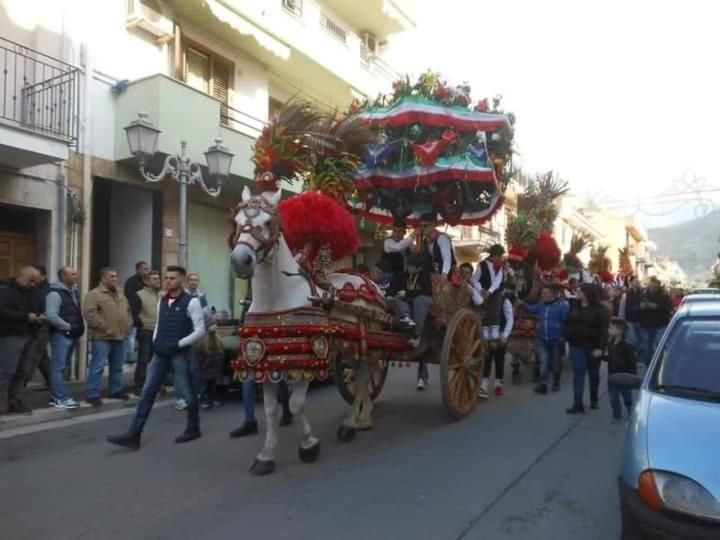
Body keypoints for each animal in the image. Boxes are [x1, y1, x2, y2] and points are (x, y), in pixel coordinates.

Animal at [231, 188, 380, 474]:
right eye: (237, 221)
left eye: (268, 222)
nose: (240, 260)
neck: (277, 297)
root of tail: (367, 281)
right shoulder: (263, 357)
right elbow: (270, 410)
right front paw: (266, 456)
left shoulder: (309, 356)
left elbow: (295, 404)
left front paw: (309, 445)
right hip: (349, 347)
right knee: (362, 376)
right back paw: (364, 418)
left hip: (360, 345)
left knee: (363, 376)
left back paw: (351, 424)